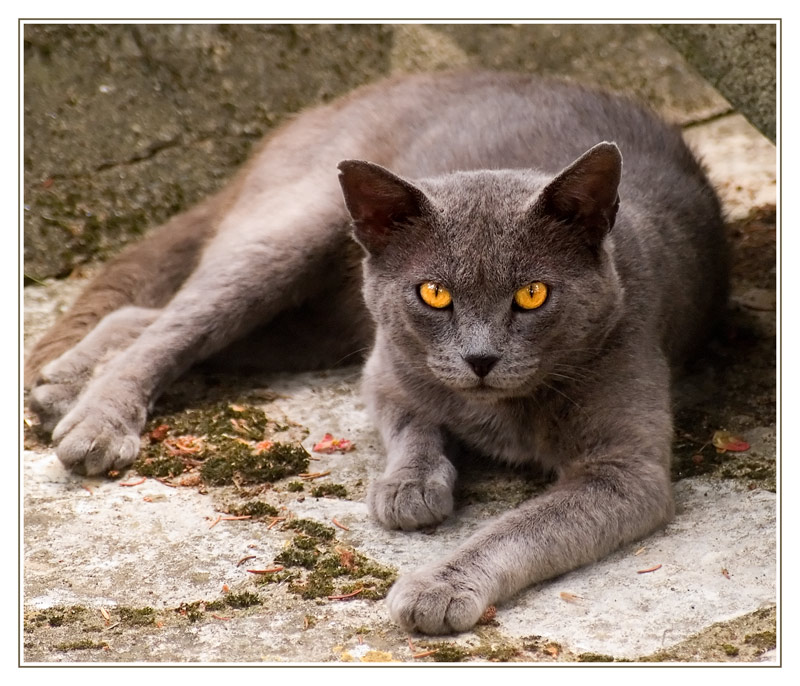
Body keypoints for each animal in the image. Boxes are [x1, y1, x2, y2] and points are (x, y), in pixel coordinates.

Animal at [25, 70, 728, 636]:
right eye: (433, 293)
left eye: (532, 294)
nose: (480, 359)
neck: (500, 408)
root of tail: (320, 107)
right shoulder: (385, 363)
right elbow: (411, 418)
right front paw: (409, 487)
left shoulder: (626, 471)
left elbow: (526, 524)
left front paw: (437, 584)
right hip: (289, 237)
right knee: (173, 324)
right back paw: (89, 419)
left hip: (311, 326)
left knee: (149, 318)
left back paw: (62, 383)